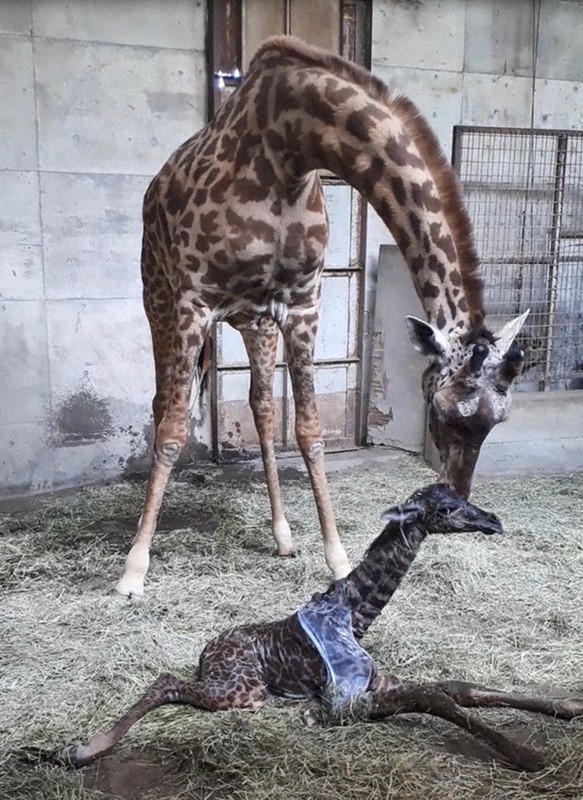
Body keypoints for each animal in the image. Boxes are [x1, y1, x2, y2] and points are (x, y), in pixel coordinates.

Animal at [64, 484, 582, 772]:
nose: (493, 521)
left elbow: (458, 687)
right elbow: (435, 698)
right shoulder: (345, 702)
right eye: (445, 510)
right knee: (166, 680)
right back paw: (84, 749)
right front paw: (527, 756)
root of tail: (206, 649)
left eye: (462, 497)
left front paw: (570, 706)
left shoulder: (376, 682)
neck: (357, 614)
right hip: (243, 690)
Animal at [116, 36, 528, 597]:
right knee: (164, 404)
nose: (458, 502)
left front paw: (336, 558)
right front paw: (133, 569)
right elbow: (175, 428)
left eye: (499, 420)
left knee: (263, 407)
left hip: (255, 322)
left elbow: (309, 431)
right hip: (157, 296)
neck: (287, 146)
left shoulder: (302, 303)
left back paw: (283, 536)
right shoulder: (192, 302)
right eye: (441, 412)